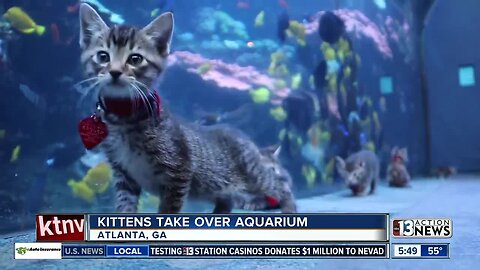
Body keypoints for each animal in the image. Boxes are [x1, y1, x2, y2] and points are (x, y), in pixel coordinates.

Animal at [78, 3, 296, 213]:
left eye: (135, 59)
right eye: (103, 56)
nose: (114, 72)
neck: (123, 117)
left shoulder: (178, 171)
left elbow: (167, 211)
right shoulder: (124, 175)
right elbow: (125, 207)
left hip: (254, 175)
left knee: (281, 187)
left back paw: (289, 208)